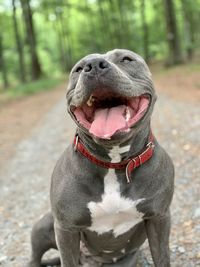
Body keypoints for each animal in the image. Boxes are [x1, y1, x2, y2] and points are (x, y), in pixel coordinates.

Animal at [27, 48, 174, 267]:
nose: (94, 65)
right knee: (35, 257)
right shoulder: (65, 228)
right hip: (43, 225)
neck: (114, 163)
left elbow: (162, 257)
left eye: (127, 59)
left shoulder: (159, 218)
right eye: (79, 68)